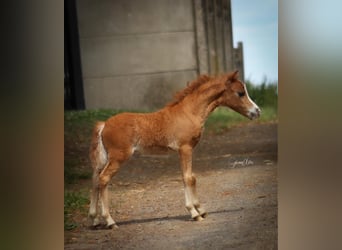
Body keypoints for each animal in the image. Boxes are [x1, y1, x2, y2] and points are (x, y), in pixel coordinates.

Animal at [87, 71, 260, 229]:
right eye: (240, 93)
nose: (257, 111)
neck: (189, 113)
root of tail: (104, 125)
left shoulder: (184, 150)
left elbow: (190, 177)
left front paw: (201, 210)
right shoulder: (185, 148)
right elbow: (188, 178)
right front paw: (194, 213)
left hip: (105, 158)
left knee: (95, 180)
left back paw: (95, 220)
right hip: (119, 156)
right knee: (103, 179)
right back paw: (110, 221)